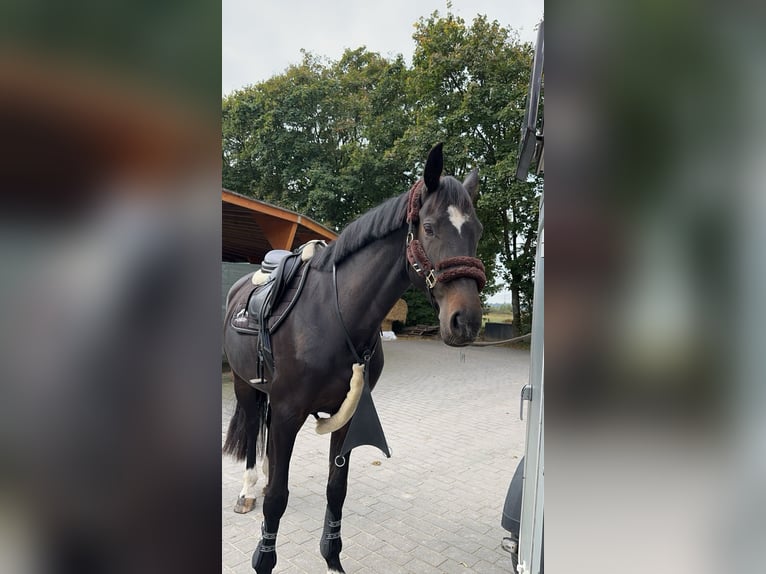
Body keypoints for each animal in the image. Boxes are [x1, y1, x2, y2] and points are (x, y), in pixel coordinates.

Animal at [222, 145, 486, 574]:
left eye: (476, 231)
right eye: (429, 228)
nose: (466, 321)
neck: (332, 313)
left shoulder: (344, 416)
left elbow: (336, 489)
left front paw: (332, 558)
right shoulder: (289, 413)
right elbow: (278, 496)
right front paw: (264, 559)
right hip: (247, 388)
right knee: (249, 437)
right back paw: (247, 491)